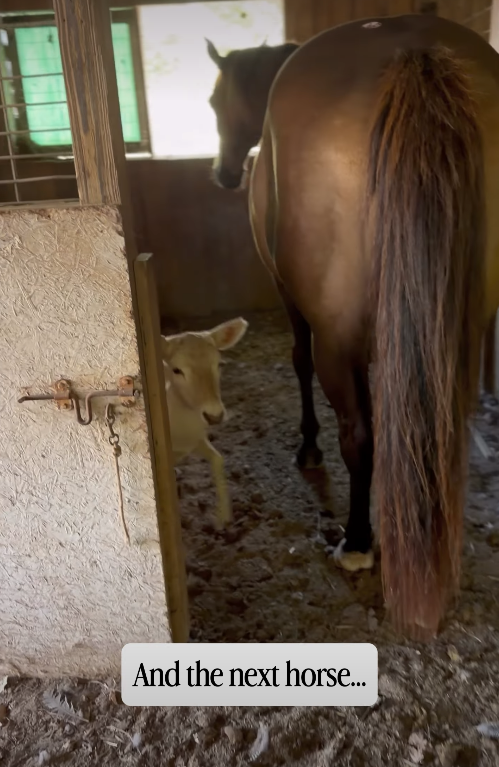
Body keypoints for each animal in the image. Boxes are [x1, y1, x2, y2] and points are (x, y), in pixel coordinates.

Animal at [206, 15, 499, 639]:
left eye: (216, 101)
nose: (222, 174)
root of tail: (413, 52)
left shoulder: (292, 300)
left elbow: (298, 363)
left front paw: (308, 448)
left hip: (337, 341)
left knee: (359, 436)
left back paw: (359, 541)